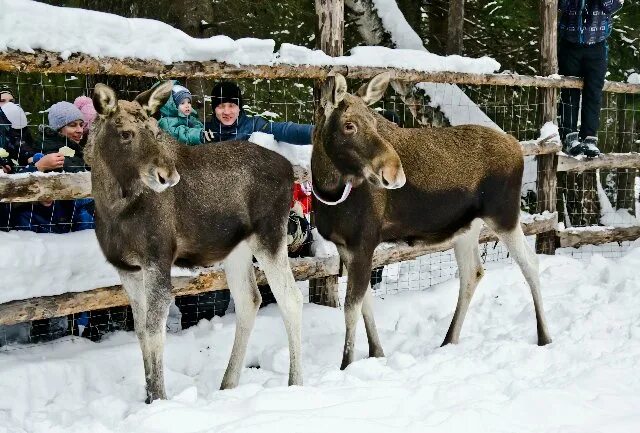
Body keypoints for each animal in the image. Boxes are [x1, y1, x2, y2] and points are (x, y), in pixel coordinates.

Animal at [87, 82, 302, 402]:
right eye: (125, 133)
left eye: (156, 131)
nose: (167, 175)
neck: (112, 207)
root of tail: (291, 169)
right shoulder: (126, 268)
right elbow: (140, 330)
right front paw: (148, 396)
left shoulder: (157, 258)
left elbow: (154, 330)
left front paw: (159, 398)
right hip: (237, 249)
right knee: (250, 299)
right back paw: (228, 383)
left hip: (269, 236)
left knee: (290, 298)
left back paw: (295, 382)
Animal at [312, 71, 552, 368]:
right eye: (349, 125)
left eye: (375, 122)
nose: (394, 172)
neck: (327, 190)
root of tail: (517, 146)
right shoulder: (345, 246)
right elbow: (364, 302)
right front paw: (377, 353)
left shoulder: (363, 242)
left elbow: (351, 308)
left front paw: (346, 365)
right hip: (467, 228)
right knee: (473, 272)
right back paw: (449, 339)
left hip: (504, 216)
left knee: (530, 262)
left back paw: (544, 336)